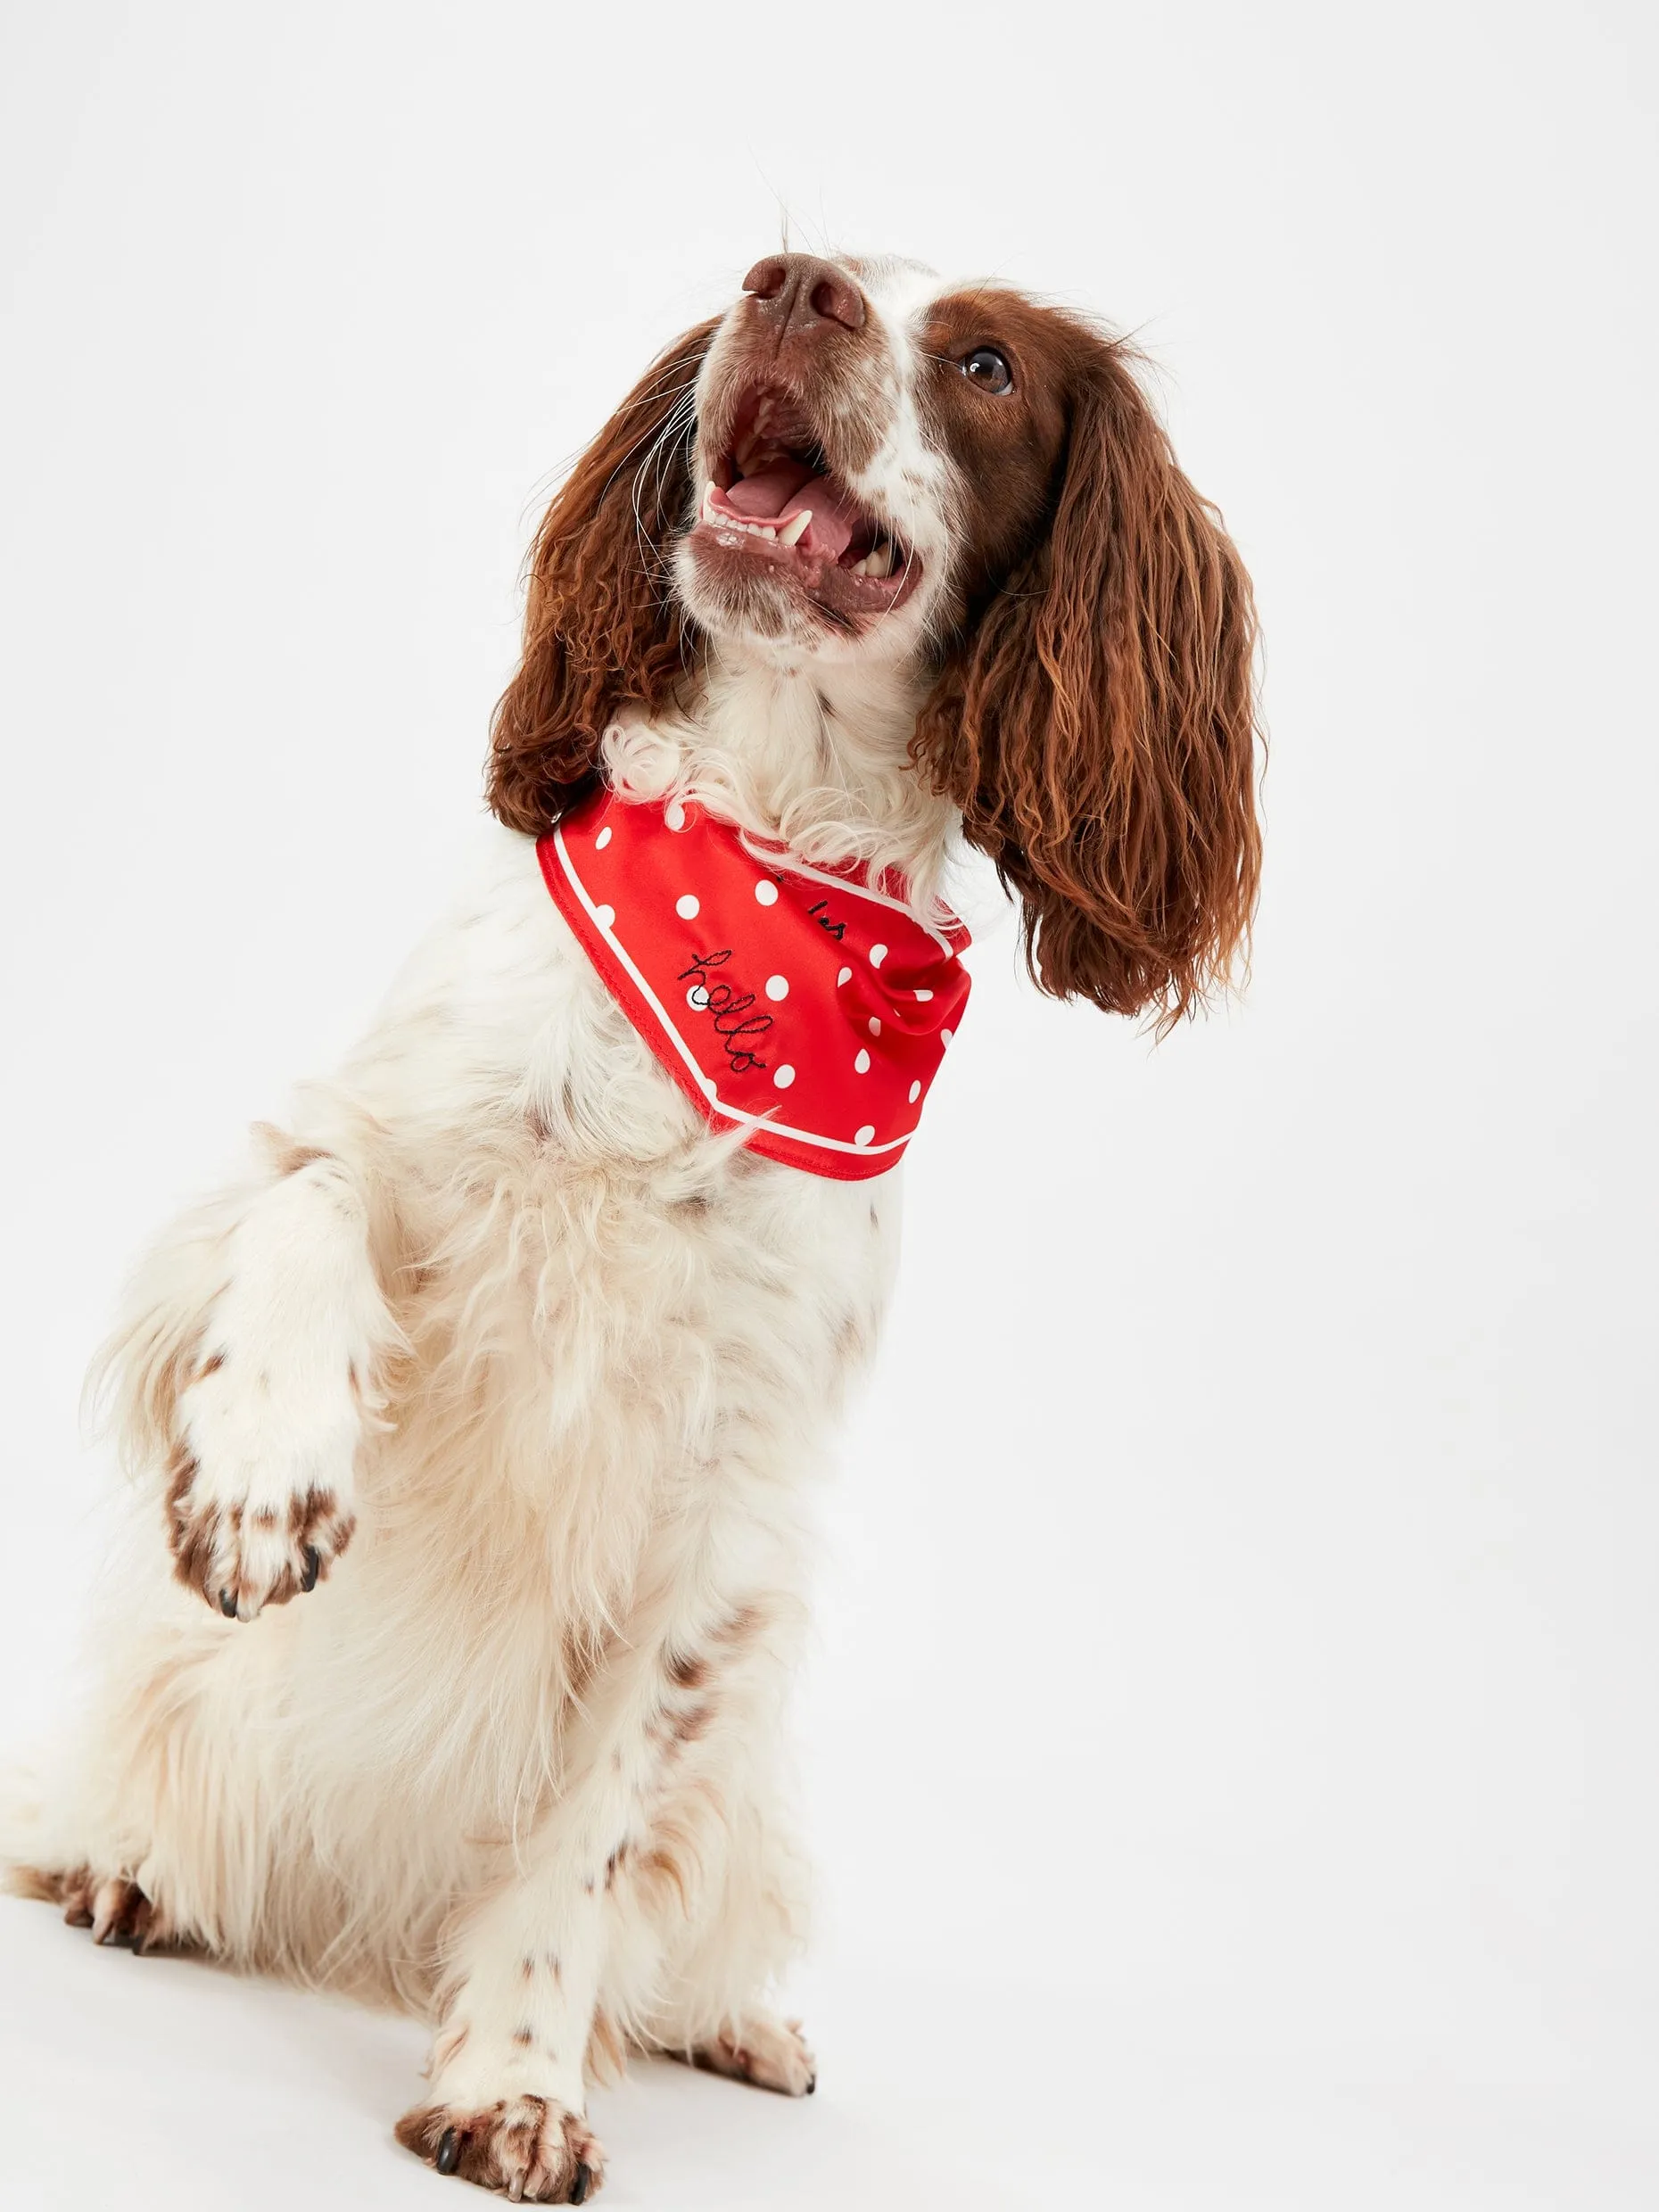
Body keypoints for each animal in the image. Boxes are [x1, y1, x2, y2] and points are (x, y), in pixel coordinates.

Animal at [6, 254, 1265, 2194]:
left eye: (983, 362)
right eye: (819, 268)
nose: (790, 286)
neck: (749, 893)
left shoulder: (725, 1504)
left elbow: (591, 1833)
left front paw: (516, 2084)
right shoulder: (329, 1164)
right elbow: (312, 1194)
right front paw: (269, 1474)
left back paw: (732, 2021)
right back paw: (121, 1869)